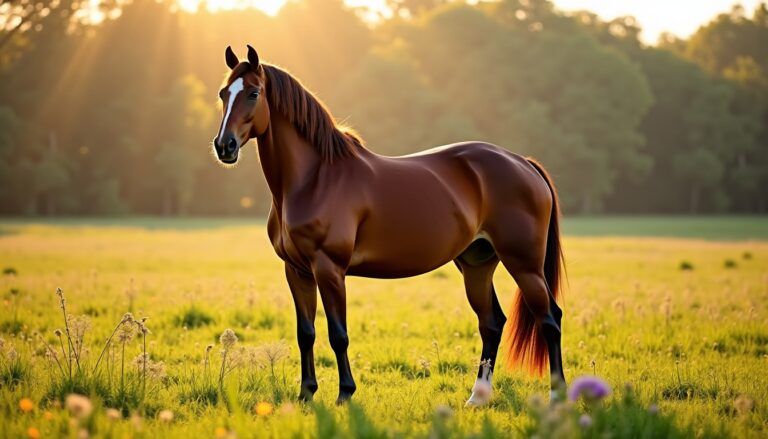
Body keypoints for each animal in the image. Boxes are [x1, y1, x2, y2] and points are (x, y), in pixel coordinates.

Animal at [212, 45, 566, 406]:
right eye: (223, 94)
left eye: (254, 93)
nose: (224, 146)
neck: (315, 179)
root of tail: (523, 163)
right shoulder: (296, 271)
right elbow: (306, 333)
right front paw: (306, 394)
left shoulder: (329, 268)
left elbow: (338, 334)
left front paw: (345, 394)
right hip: (477, 264)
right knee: (491, 323)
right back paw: (477, 397)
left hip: (524, 265)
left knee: (550, 320)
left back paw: (557, 396)